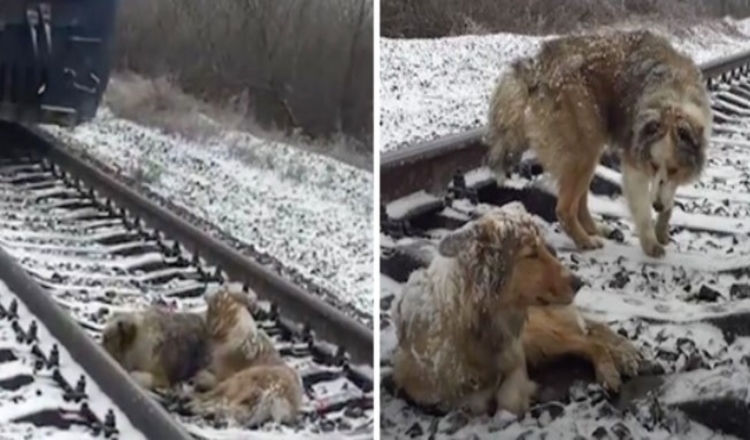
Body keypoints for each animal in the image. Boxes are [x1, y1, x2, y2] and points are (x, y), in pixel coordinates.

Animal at [488, 29, 712, 258]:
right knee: (565, 208)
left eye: (675, 169)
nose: (656, 206)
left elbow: (669, 196)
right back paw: (585, 241)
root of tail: (536, 68)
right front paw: (650, 241)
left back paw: (598, 230)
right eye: (652, 165)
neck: (674, 98)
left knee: (580, 203)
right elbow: (642, 208)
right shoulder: (634, 162)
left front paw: (662, 228)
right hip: (584, 148)